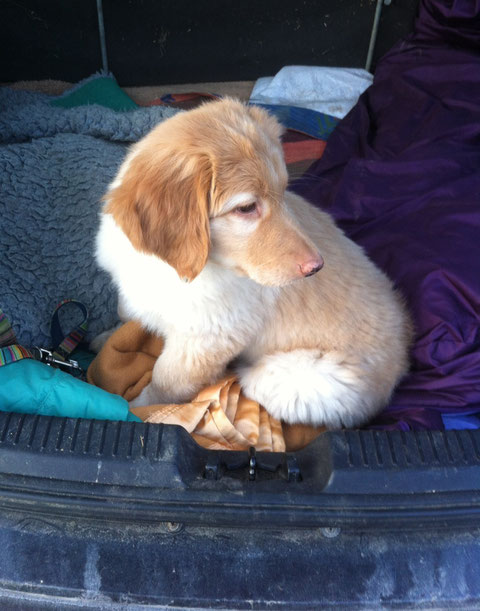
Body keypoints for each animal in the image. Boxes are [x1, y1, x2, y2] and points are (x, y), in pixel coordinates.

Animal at [94, 98, 412, 428]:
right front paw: (105, 337)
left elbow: (164, 383)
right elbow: (126, 311)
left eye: (285, 192)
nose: (316, 266)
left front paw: (135, 410)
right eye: (247, 207)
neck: (172, 270)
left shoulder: (206, 340)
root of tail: (405, 344)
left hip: (295, 381)